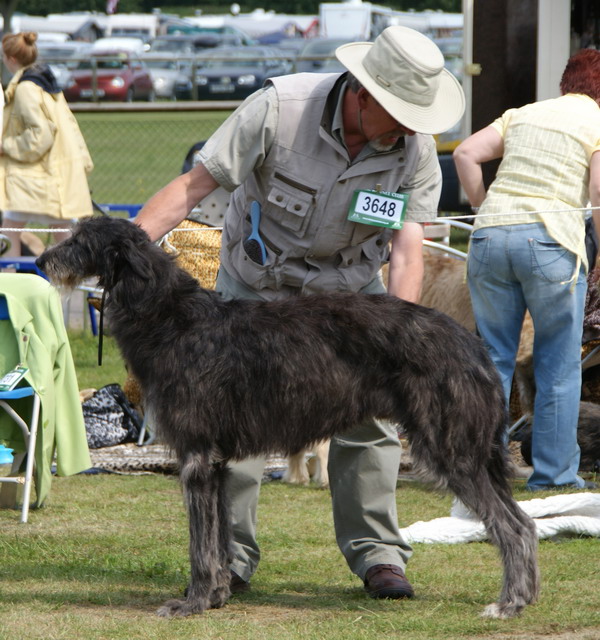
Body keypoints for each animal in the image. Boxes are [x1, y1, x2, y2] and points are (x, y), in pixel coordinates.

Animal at [39, 216, 540, 620]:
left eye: (79, 239)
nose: (41, 260)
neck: (171, 318)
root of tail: (470, 343)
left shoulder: (195, 457)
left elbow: (200, 545)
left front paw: (192, 603)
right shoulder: (216, 462)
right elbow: (218, 539)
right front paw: (217, 595)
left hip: (451, 448)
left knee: (511, 526)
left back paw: (509, 603)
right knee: (526, 522)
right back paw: (525, 596)